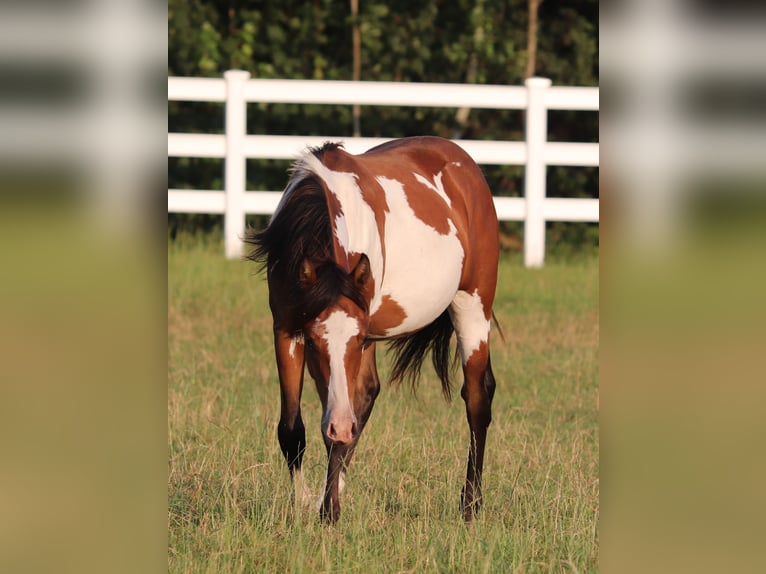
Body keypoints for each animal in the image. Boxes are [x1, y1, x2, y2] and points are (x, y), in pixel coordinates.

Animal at [246, 136, 499, 524]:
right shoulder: (286, 329)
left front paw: (327, 512)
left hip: (472, 306)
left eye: (354, 339)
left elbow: (335, 430)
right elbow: (293, 429)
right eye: (314, 342)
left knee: (477, 398)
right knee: (363, 399)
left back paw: (470, 506)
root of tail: (464, 164)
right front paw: (309, 503)